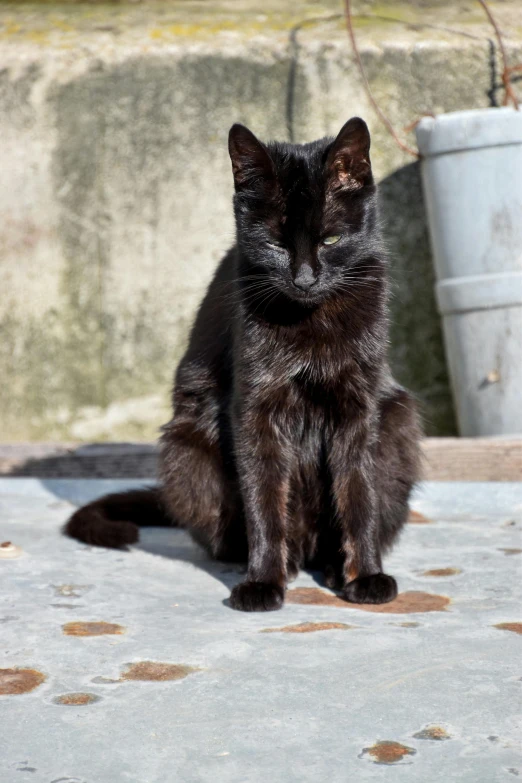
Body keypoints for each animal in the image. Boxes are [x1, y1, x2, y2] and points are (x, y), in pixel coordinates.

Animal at [65, 118, 422, 612]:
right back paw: (286, 565)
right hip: (187, 446)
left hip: (398, 423)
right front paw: (263, 581)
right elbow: (263, 499)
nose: (304, 278)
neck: (308, 320)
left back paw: (332, 566)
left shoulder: (359, 406)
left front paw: (366, 574)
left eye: (330, 239)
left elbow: (359, 494)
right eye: (274, 242)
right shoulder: (254, 408)